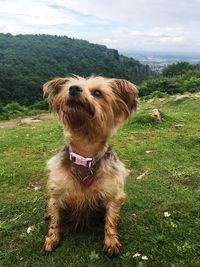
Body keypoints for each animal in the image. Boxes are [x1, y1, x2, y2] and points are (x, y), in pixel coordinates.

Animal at [42, 75, 138, 258]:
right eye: (71, 86)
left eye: (97, 93)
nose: (73, 88)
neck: (85, 157)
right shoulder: (57, 193)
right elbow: (56, 220)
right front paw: (51, 239)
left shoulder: (113, 193)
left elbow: (110, 220)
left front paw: (111, 242)